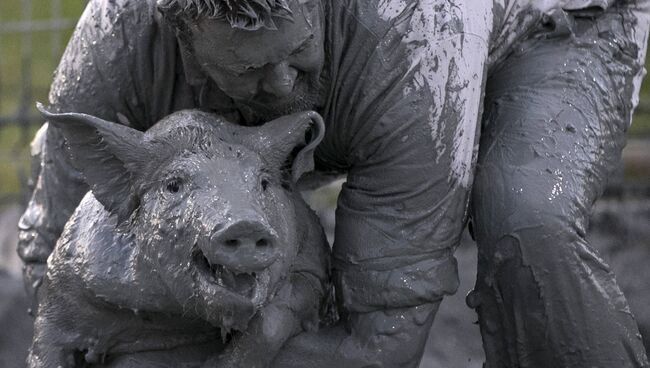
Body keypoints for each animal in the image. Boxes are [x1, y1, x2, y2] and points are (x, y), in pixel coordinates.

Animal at [26, 104, 330, 368]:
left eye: (264, 183)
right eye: (173, 185)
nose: (244, 224)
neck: (182, 318)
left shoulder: (313, 266)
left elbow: (271, 320)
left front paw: (213, 363)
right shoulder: (64, 279)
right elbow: (48, 342)